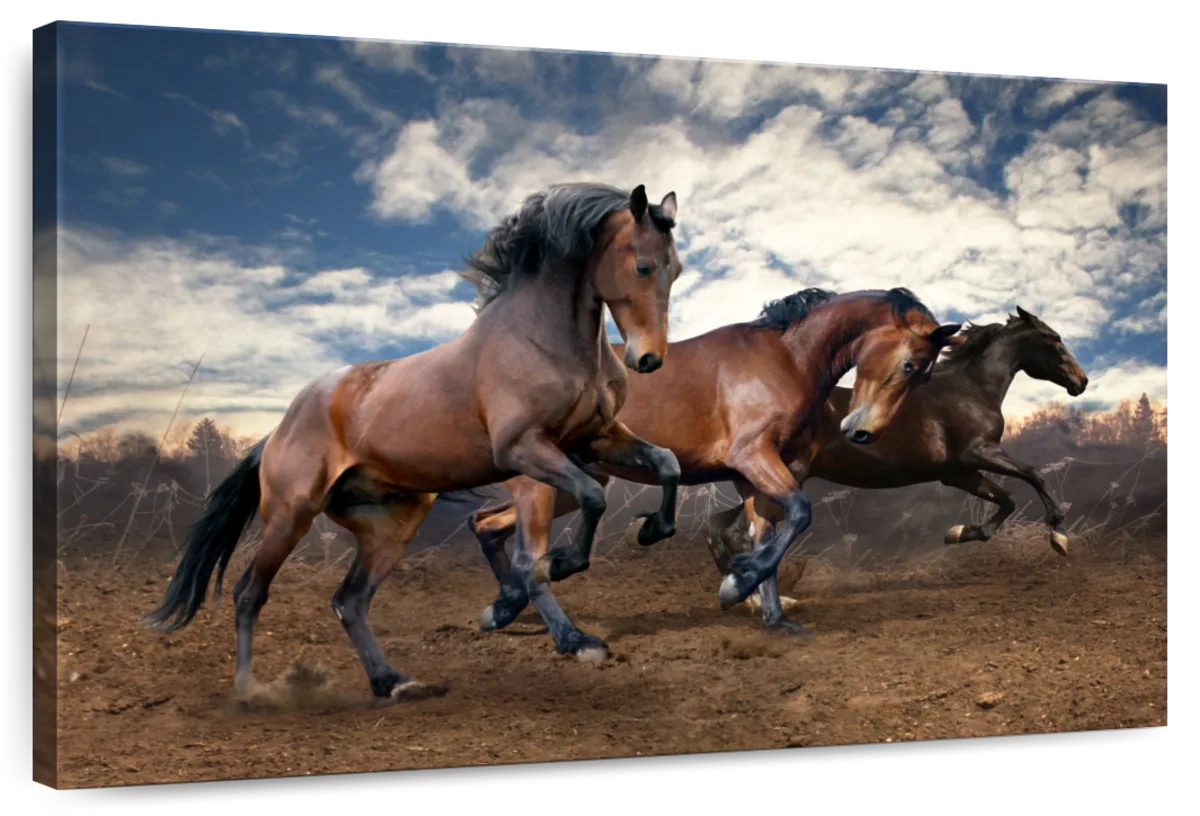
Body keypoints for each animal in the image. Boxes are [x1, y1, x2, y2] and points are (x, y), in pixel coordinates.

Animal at [142, 182, 687, 701]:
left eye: (676, 270)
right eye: (642, 266)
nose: (649, 360)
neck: (540, 339)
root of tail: (276, 431)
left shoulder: (595, 439)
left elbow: (666, 463)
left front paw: (651, 529)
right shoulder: (523, 449)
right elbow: (583, 508)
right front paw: (565, 573)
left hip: (390, 524)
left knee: (348, 601)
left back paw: (393, 682)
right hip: (290, 515)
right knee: (249, 593)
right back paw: (248, 691)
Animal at [451, 287, 964, 660]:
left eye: (921, 375)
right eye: (910, 364)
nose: (862, 433)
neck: (786, 358)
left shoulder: (754, 476)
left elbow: (767, 535)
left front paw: (772, 616)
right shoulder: (753, 457)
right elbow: (800, 513)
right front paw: (736, 584)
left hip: (571, 486)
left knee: (487, 526)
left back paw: (502, 609)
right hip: (541, 485)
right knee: (526, 559)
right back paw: (573, 640)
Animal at [702, 306, 1089, 626]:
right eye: (1053, 338)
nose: (1081, 381)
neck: (971, 390)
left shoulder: (958, 473)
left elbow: (1006, 500)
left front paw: (959, 533)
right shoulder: (978, 452)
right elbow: (1033, 475)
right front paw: (1058, 536)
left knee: (718, 528)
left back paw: (745, 598)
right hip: (786, 478)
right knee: (737, 532)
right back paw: (755, 599)